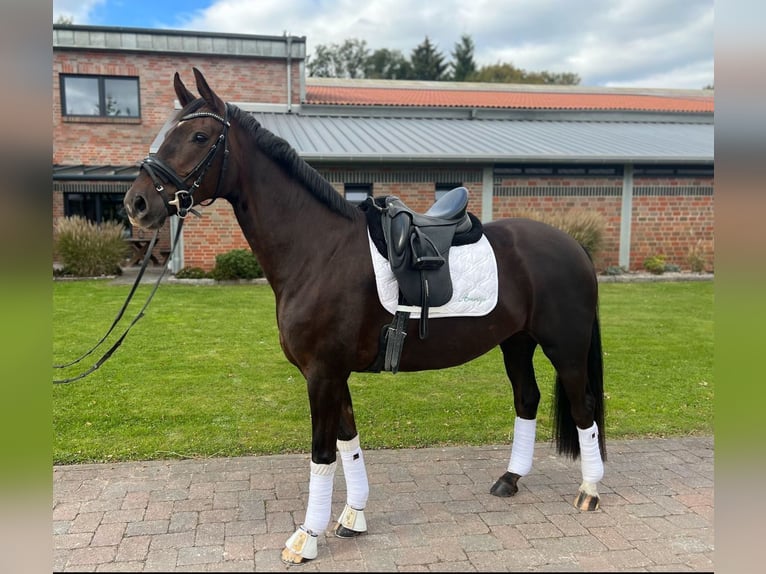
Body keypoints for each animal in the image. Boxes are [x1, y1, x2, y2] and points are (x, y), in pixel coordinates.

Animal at [124, 68, 608, 568]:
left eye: (199, 136)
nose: (136, 204)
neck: (319, 250)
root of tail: (573, 244)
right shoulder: (332, 374)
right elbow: (347, 443)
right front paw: (352, 517)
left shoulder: (323, 374)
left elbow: (322, 453)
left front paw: (306, 538)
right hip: (517, 342)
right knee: (527, 399)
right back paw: (510, 479)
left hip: (565, 348)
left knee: (584, 406)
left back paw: (589, 490)